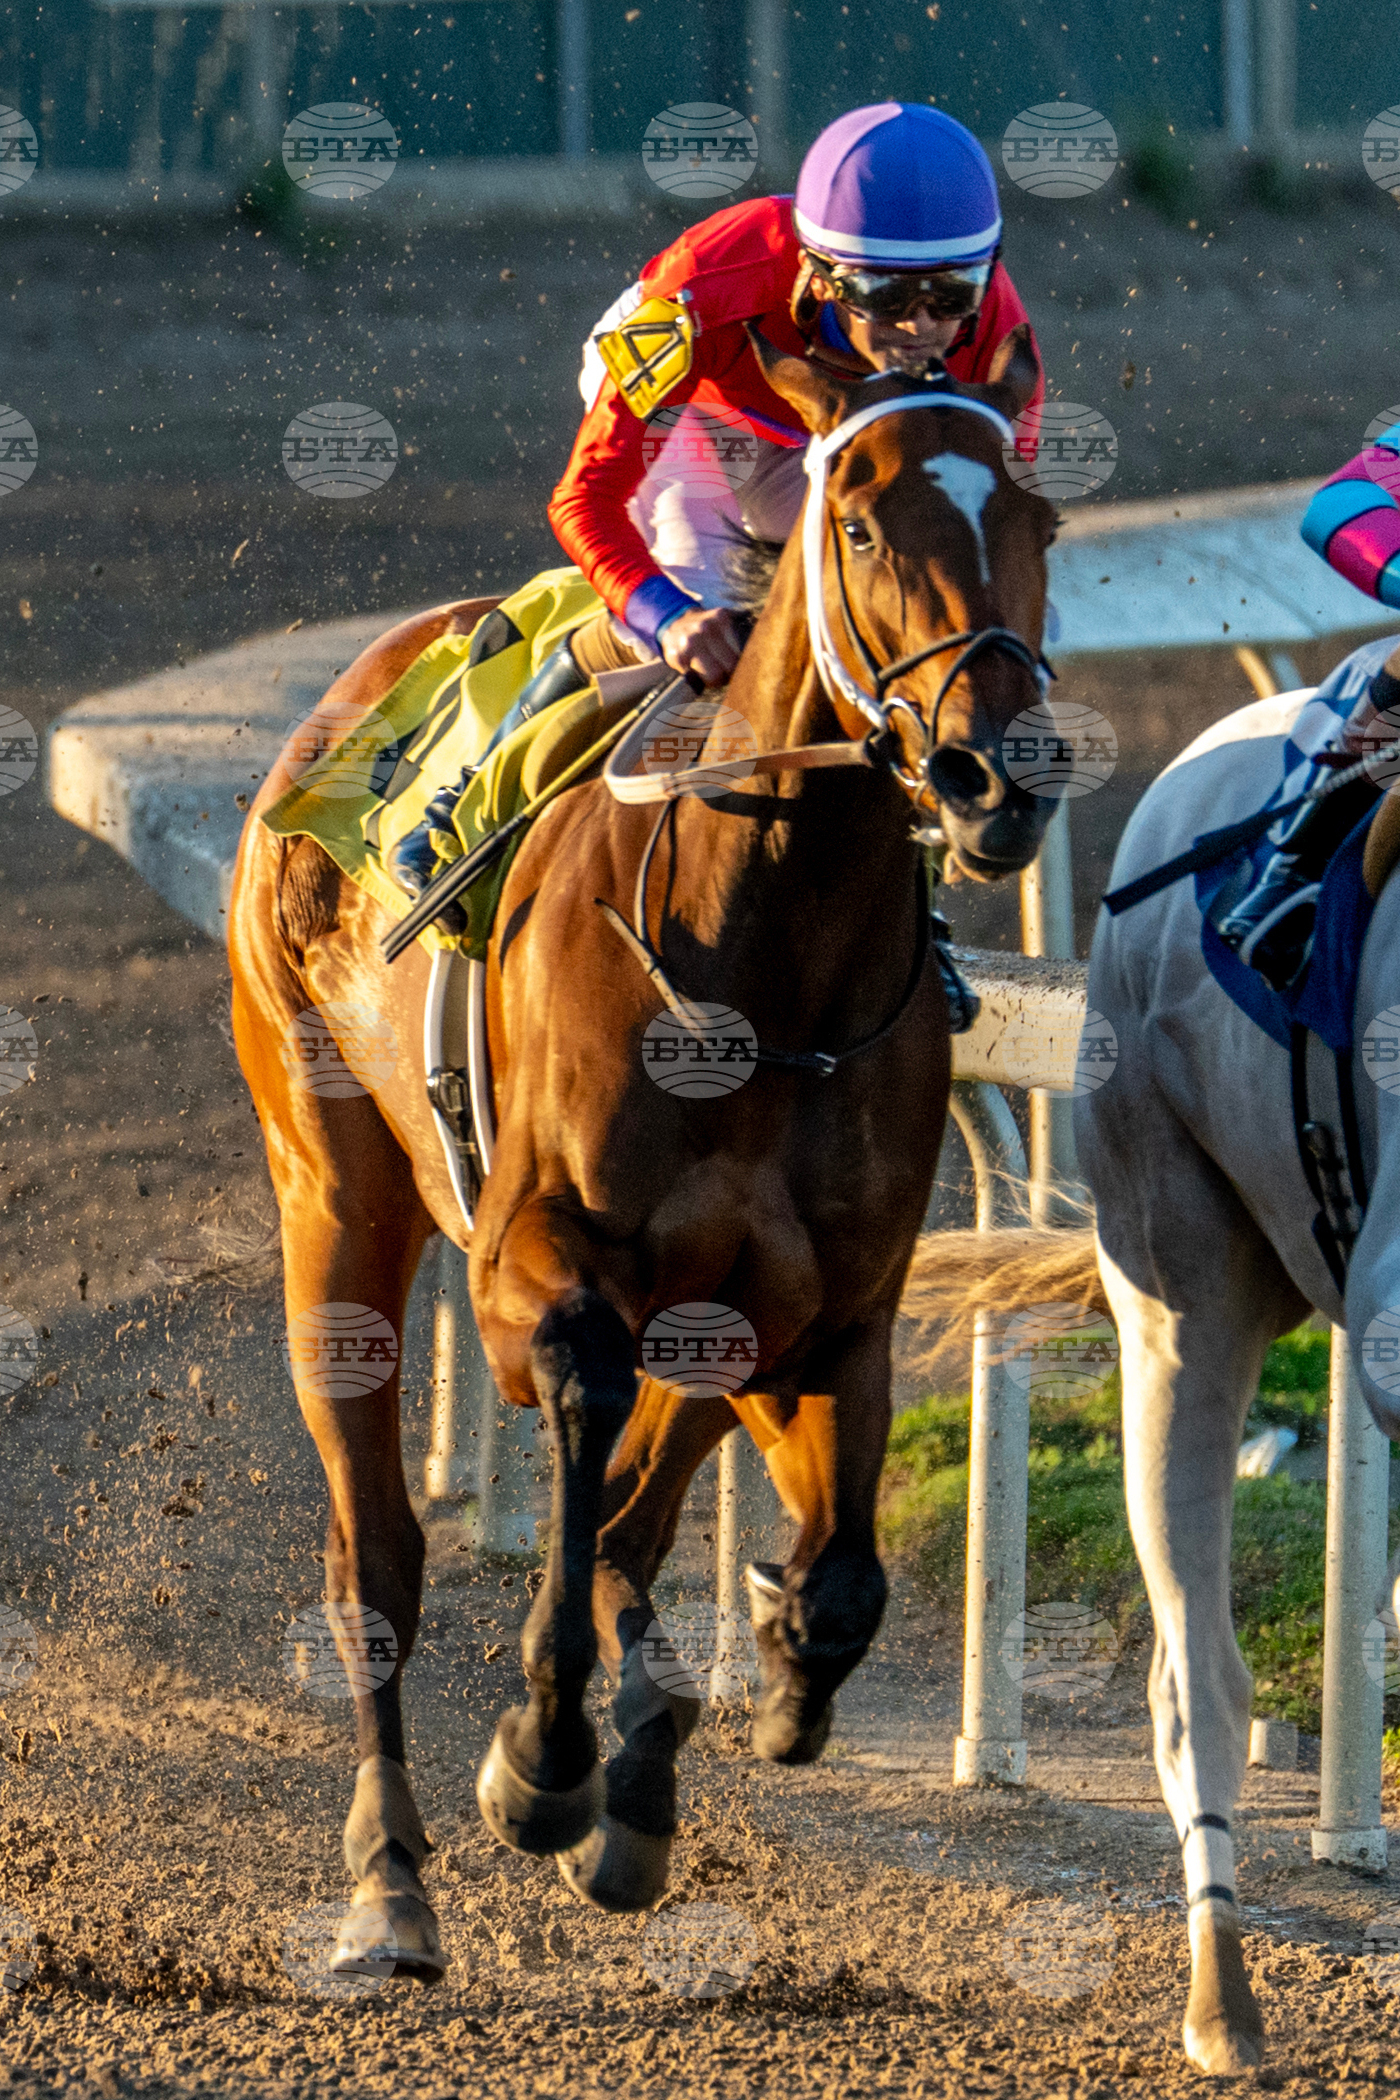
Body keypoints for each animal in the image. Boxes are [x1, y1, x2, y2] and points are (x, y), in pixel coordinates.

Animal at [227, 326, 1056, 1978]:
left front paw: (754, 1700)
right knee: (380, 1560)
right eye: (861, 523)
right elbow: (586, 1414)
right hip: (333, 1193)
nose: (996, 776)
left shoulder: (826, 1311)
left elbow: (830, 1572)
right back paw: (392, 1884)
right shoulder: (529, 1271)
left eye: (1042, 522)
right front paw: (543, 1761)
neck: (760, 973)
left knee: (626, 1518)